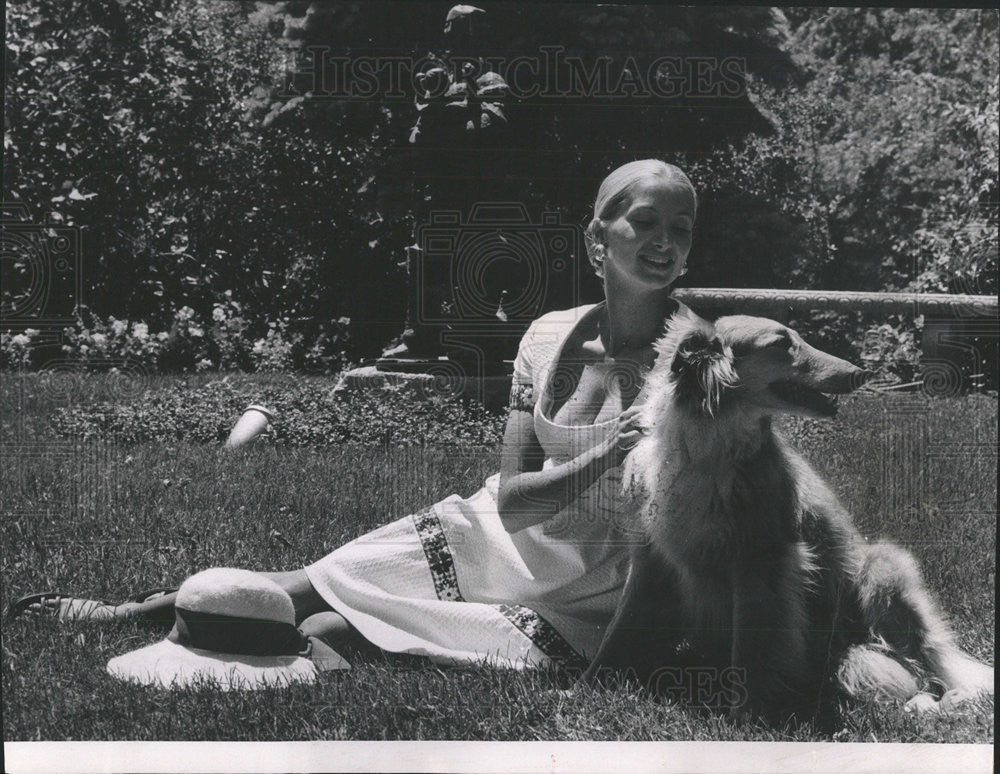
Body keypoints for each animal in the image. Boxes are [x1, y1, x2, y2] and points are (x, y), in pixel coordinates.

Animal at [584, 310, 996, 728]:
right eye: (782, 343)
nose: (861, 373)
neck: (707, 447)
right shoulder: (651, 555)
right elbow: (618, 630)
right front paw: (588, 686)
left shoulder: (763, 561)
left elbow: (753, 650)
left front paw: (745, 716)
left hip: (882, 569)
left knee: (930, 668)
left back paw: (940, 702)